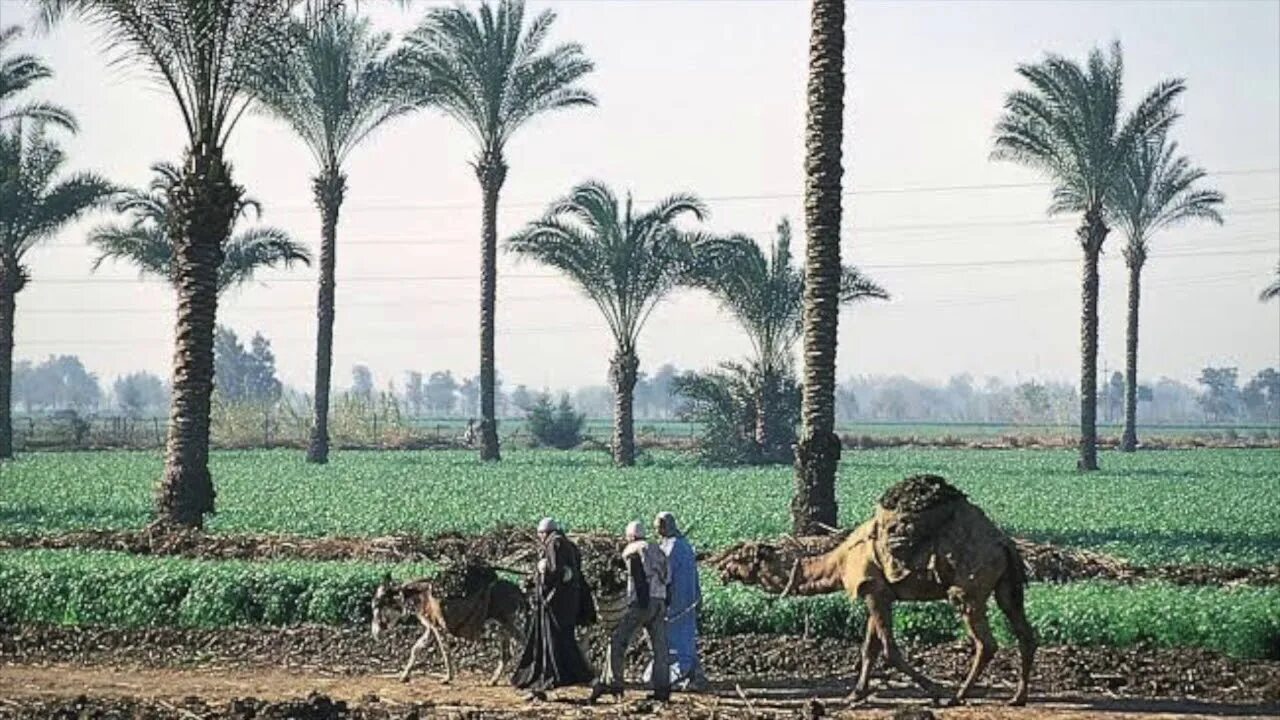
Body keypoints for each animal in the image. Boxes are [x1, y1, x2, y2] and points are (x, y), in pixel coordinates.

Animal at [716, 474, 1034, 702]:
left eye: (741, 556)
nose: (720, 567)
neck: (839, 561)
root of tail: (1003, 543)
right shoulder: (876, 591)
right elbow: (869, 648)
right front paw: (855, 694)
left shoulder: (873, 590)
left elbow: (889, 650)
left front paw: (935, 690)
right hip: (1007, 583)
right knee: (1024, 632)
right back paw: (1017, 697)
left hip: (968, 586)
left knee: (986, 641)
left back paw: (958, 695)